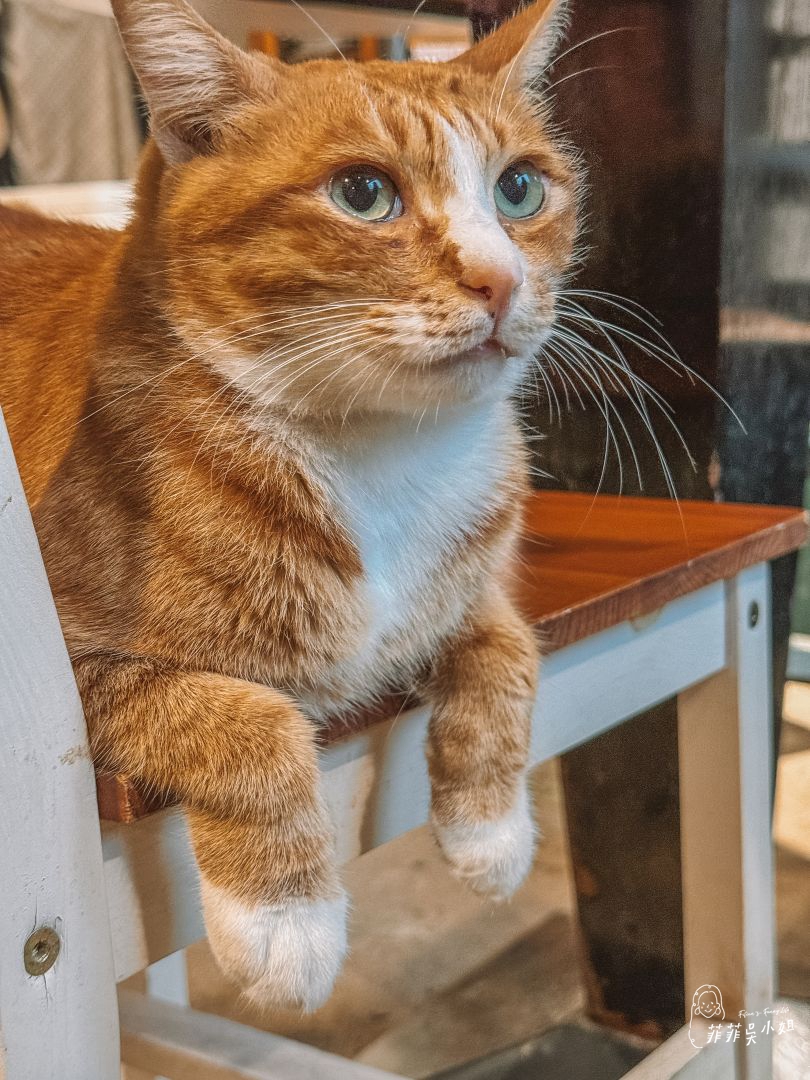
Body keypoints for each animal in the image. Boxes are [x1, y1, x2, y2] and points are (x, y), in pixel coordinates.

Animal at [0, 0, 583, 1010]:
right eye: (364, 194)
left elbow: (508, 654)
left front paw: (490, 834)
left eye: (518, 190)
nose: (503, 279)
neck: (380, 456)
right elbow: (252, 718)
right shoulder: (66, 683)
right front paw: (286, 922)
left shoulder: (477, 594)